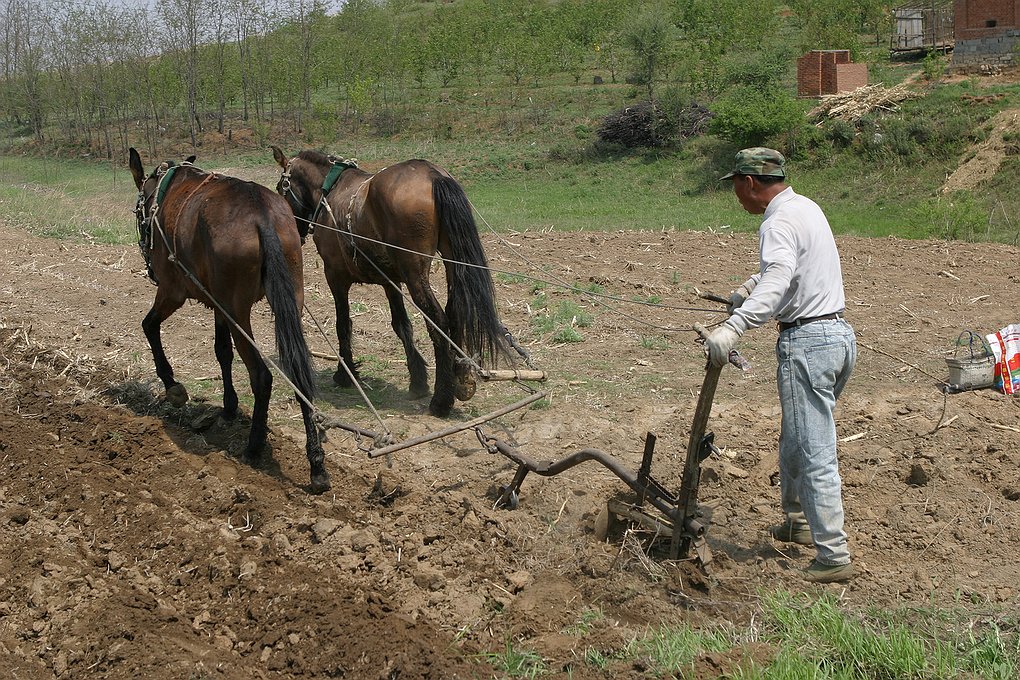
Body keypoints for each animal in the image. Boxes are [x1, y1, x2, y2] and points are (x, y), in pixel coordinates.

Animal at [128, 148, 330, 494]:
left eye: (139, 216)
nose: (148, 265)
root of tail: (261, 215)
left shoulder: (173, 292)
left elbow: (149, 326)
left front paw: (173, 387)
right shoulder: (217, 304)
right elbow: (222, 352)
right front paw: (229, 406)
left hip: (237, 312)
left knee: (261, 376)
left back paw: (253, 447)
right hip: (285, 301)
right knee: (298, 372)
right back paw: (316, 464)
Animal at [271, 146, 510, 417]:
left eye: (281, 187)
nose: (294, 231)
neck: (330, 190)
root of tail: (433, 174)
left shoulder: (334, 275)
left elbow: (343, 324)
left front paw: (345, 373)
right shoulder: (390, 281)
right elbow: (402, 326)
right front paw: (417, 379)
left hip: (415, 273)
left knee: (438, 321)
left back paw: (441, 399)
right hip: (451, 262)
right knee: (456, 312)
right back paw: (461, 379)